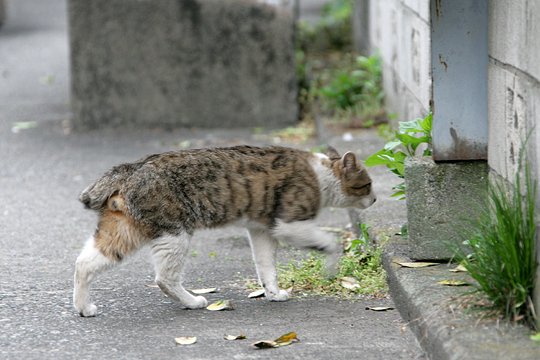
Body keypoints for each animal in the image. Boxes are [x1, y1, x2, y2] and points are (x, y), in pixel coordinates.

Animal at [73, 145, 376, 316]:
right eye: (368, 184)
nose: (374, 200)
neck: (321, 174)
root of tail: (131, 168)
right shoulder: (288, 223)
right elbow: (331, 242)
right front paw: (331, 268)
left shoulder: (261, 230)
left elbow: (266, 267)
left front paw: (273, 293)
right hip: (174, 233)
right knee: (164, 279)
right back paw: (192, 302)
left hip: (124, 231)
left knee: (83, 263)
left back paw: (84, 309)